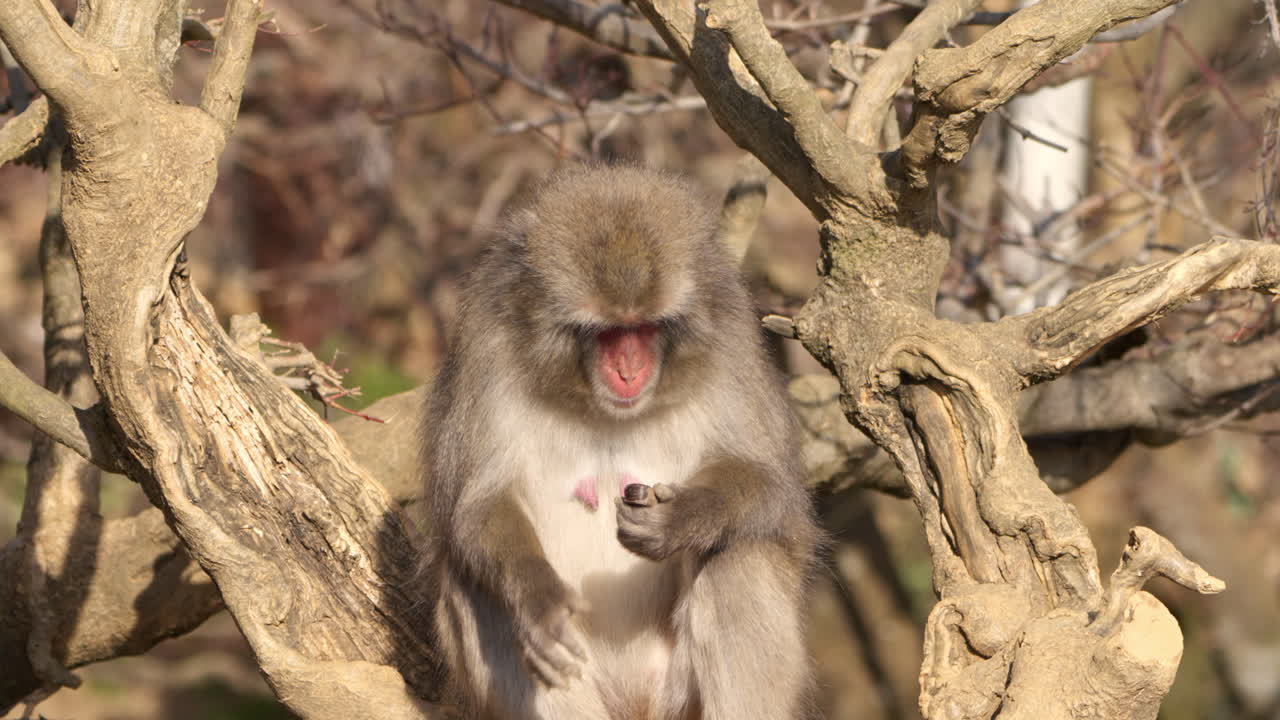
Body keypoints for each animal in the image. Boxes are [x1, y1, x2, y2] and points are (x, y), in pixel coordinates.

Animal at [424, 163, 819, 720]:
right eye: (609, 333)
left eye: (647, 327)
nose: (629, 371)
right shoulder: (486, 348)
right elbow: (478, 507)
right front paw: (538, 598)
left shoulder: (730, 341)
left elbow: (771, 485)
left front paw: (681, 518)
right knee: (483, 596)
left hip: (676, 694)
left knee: (738, 555)